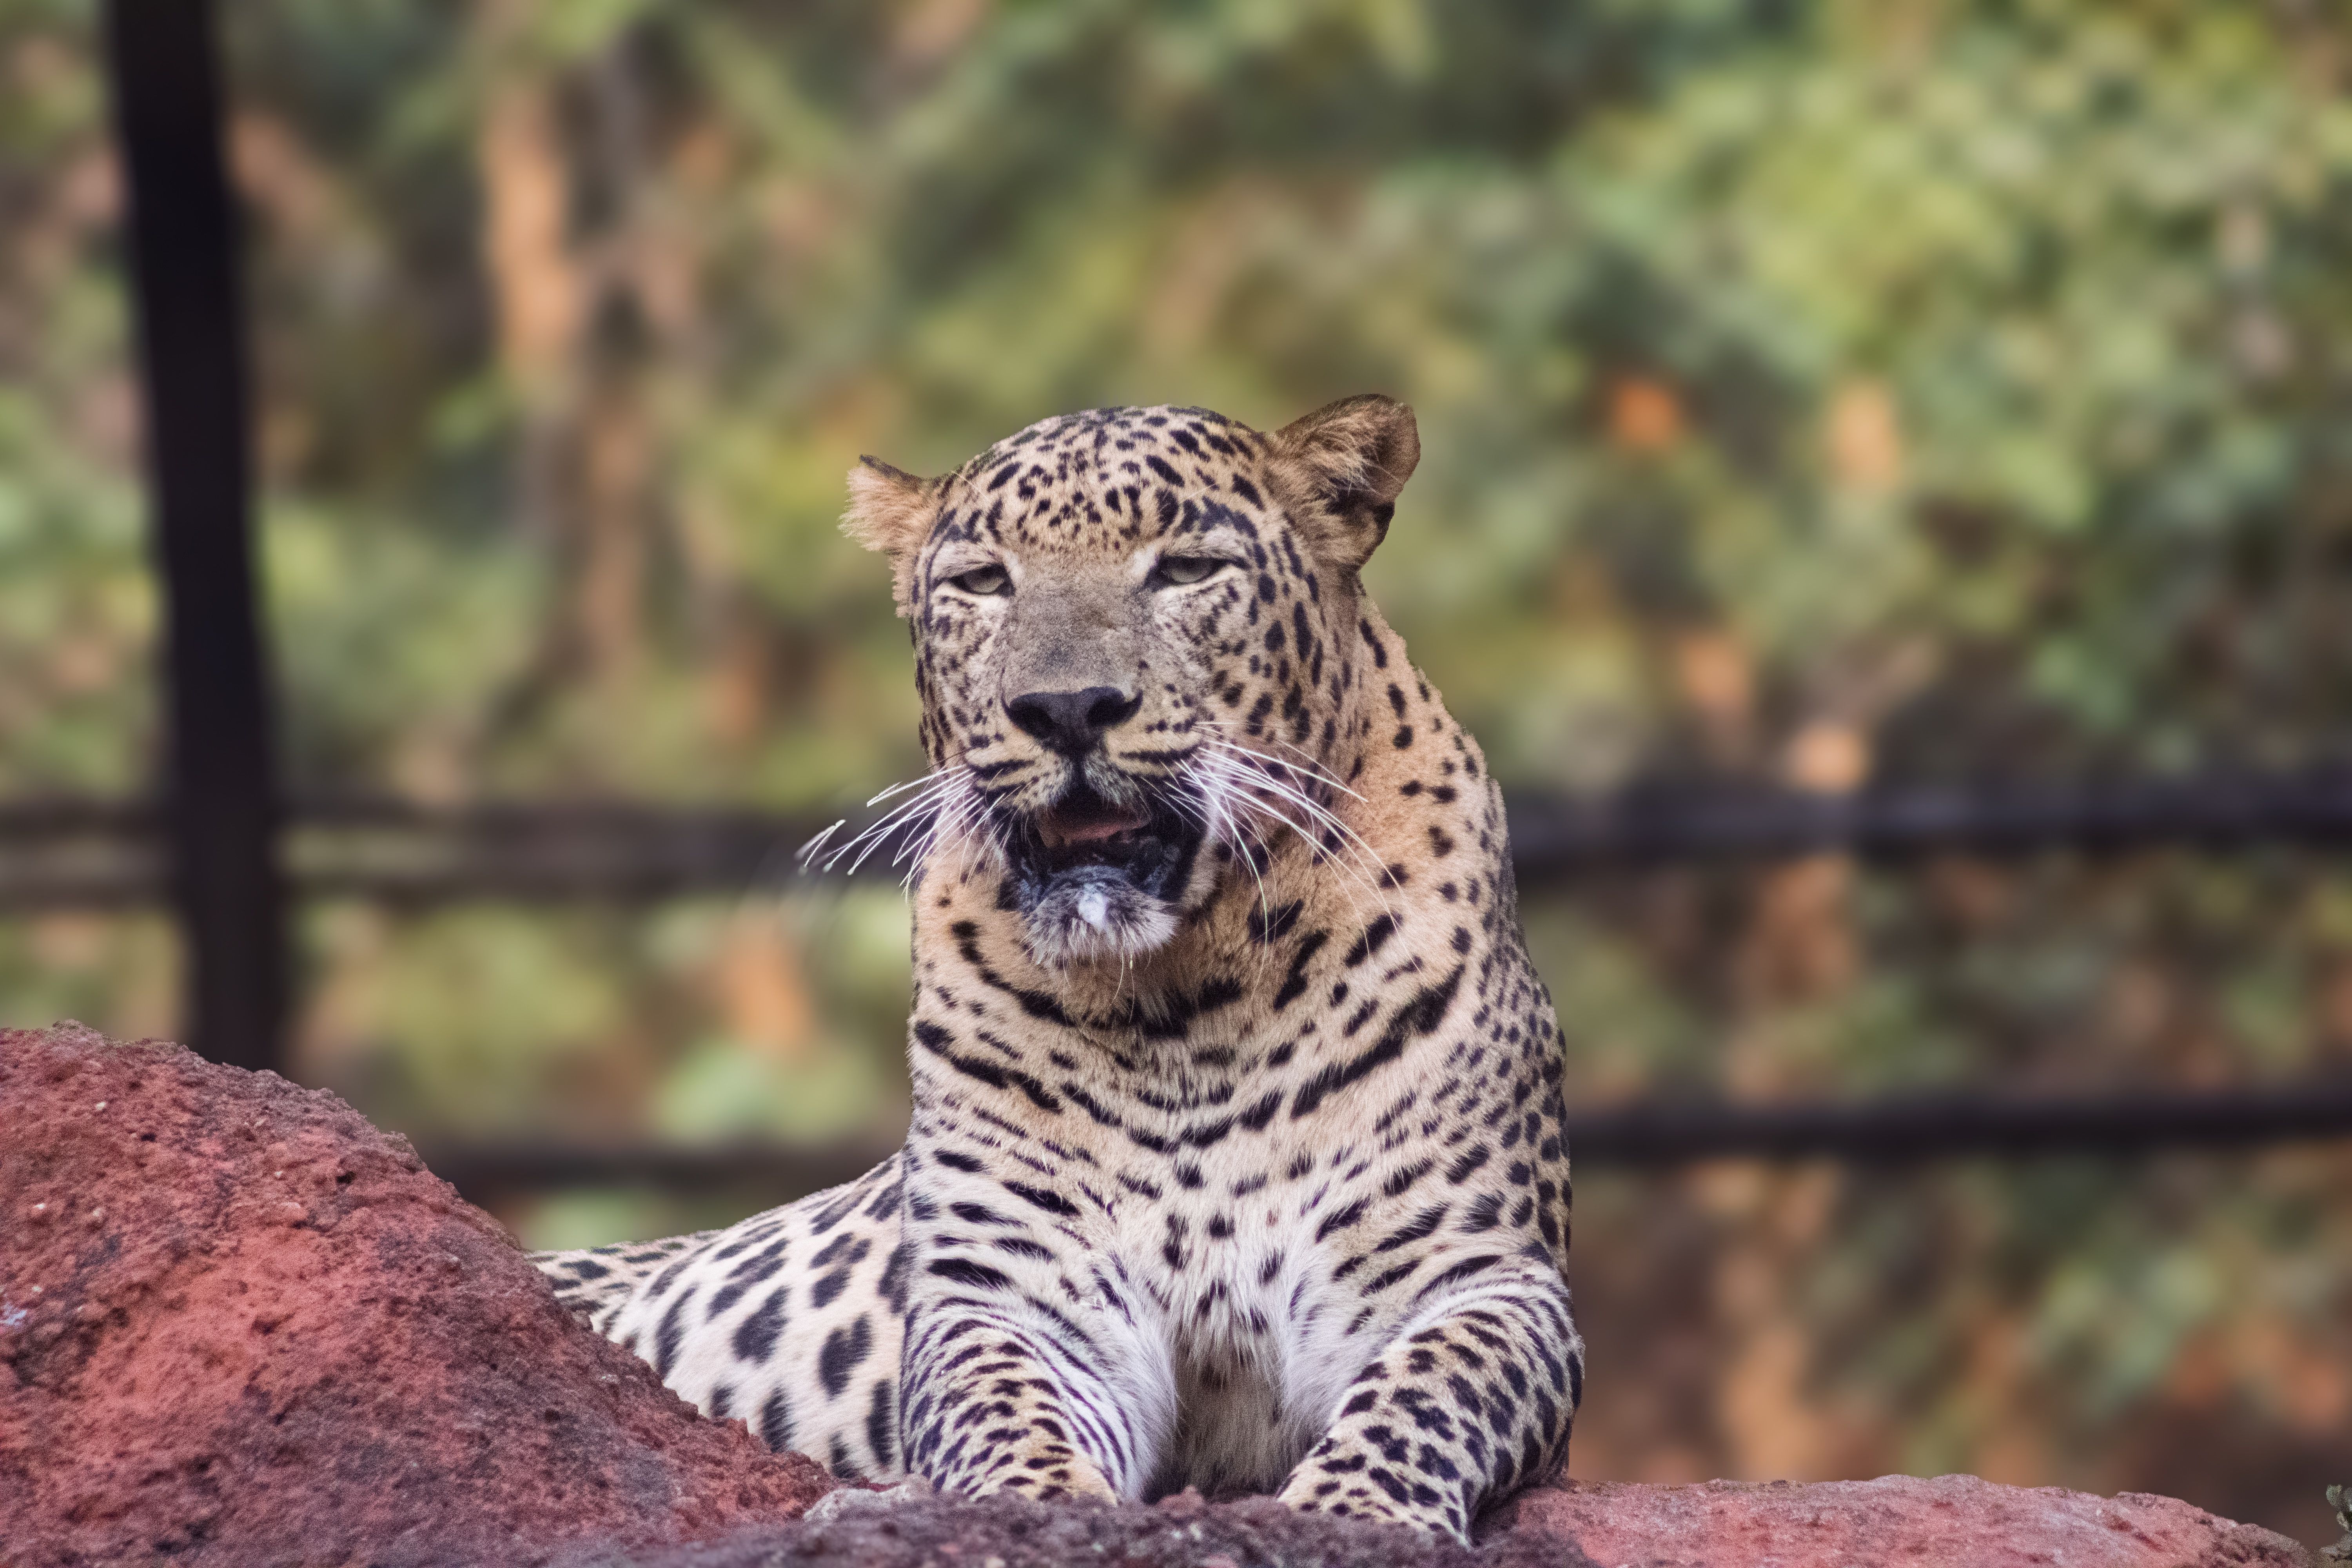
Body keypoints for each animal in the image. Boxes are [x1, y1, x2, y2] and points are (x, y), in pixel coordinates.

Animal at [531, 395, 1584, 1542]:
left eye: (1185, 569)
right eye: (985, 582)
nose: (1068, 708)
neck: (1187, 1000)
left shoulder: (1482, 1280)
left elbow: (1427, 1391)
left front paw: (1349, 1511)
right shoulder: (1017, 1297)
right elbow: (1003, 1406)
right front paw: (1033, 1506)